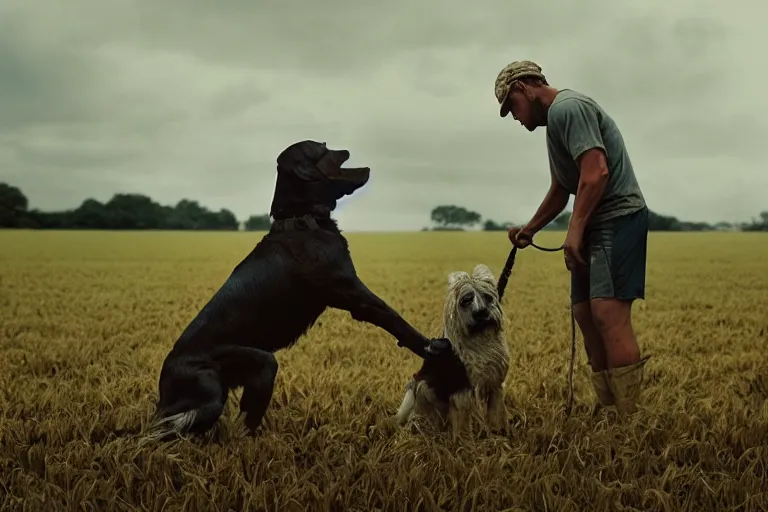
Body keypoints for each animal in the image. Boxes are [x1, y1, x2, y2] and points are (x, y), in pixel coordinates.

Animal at [146, 140, 450, 440]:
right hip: (249, 370)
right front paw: (434, 348)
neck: (302, 219)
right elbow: (397, 321)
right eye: (323, 147)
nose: (345, 149)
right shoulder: (354, 294)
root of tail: (165, 380)